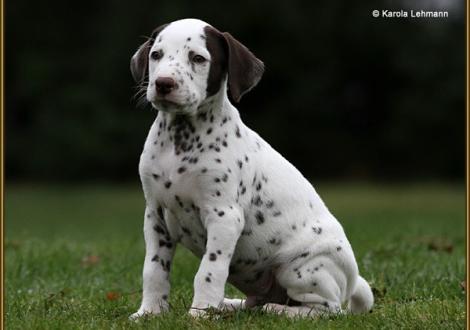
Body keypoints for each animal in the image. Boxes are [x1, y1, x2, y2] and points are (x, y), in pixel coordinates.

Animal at [130, 18, 372, 320]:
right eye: (156, 55)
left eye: (198, 58)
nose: (163, 83)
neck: (181, 139)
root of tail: (352, 281)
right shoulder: (155, 215)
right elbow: (154, 269)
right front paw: (150, 312)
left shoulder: (224, 216)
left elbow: (209, 271)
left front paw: (199, 313)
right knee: (255, 302)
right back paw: (229, 306)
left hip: (301, 269)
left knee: (328, 309)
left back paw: (277, 310)